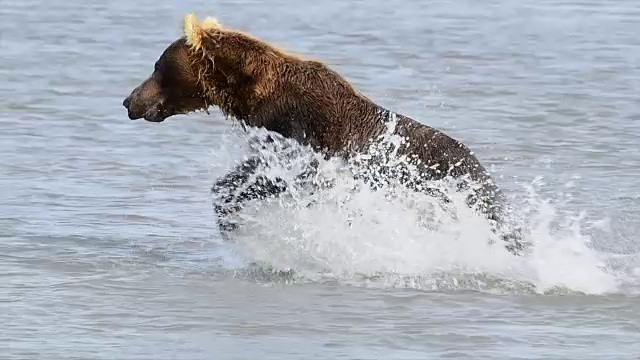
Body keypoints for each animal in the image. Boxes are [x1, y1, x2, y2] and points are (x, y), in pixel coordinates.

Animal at [122, 14, 528, 255]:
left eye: (157, 66)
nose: (128, 100)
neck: (255, 93)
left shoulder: (312, 139)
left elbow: (274, 175)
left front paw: (233, 217)